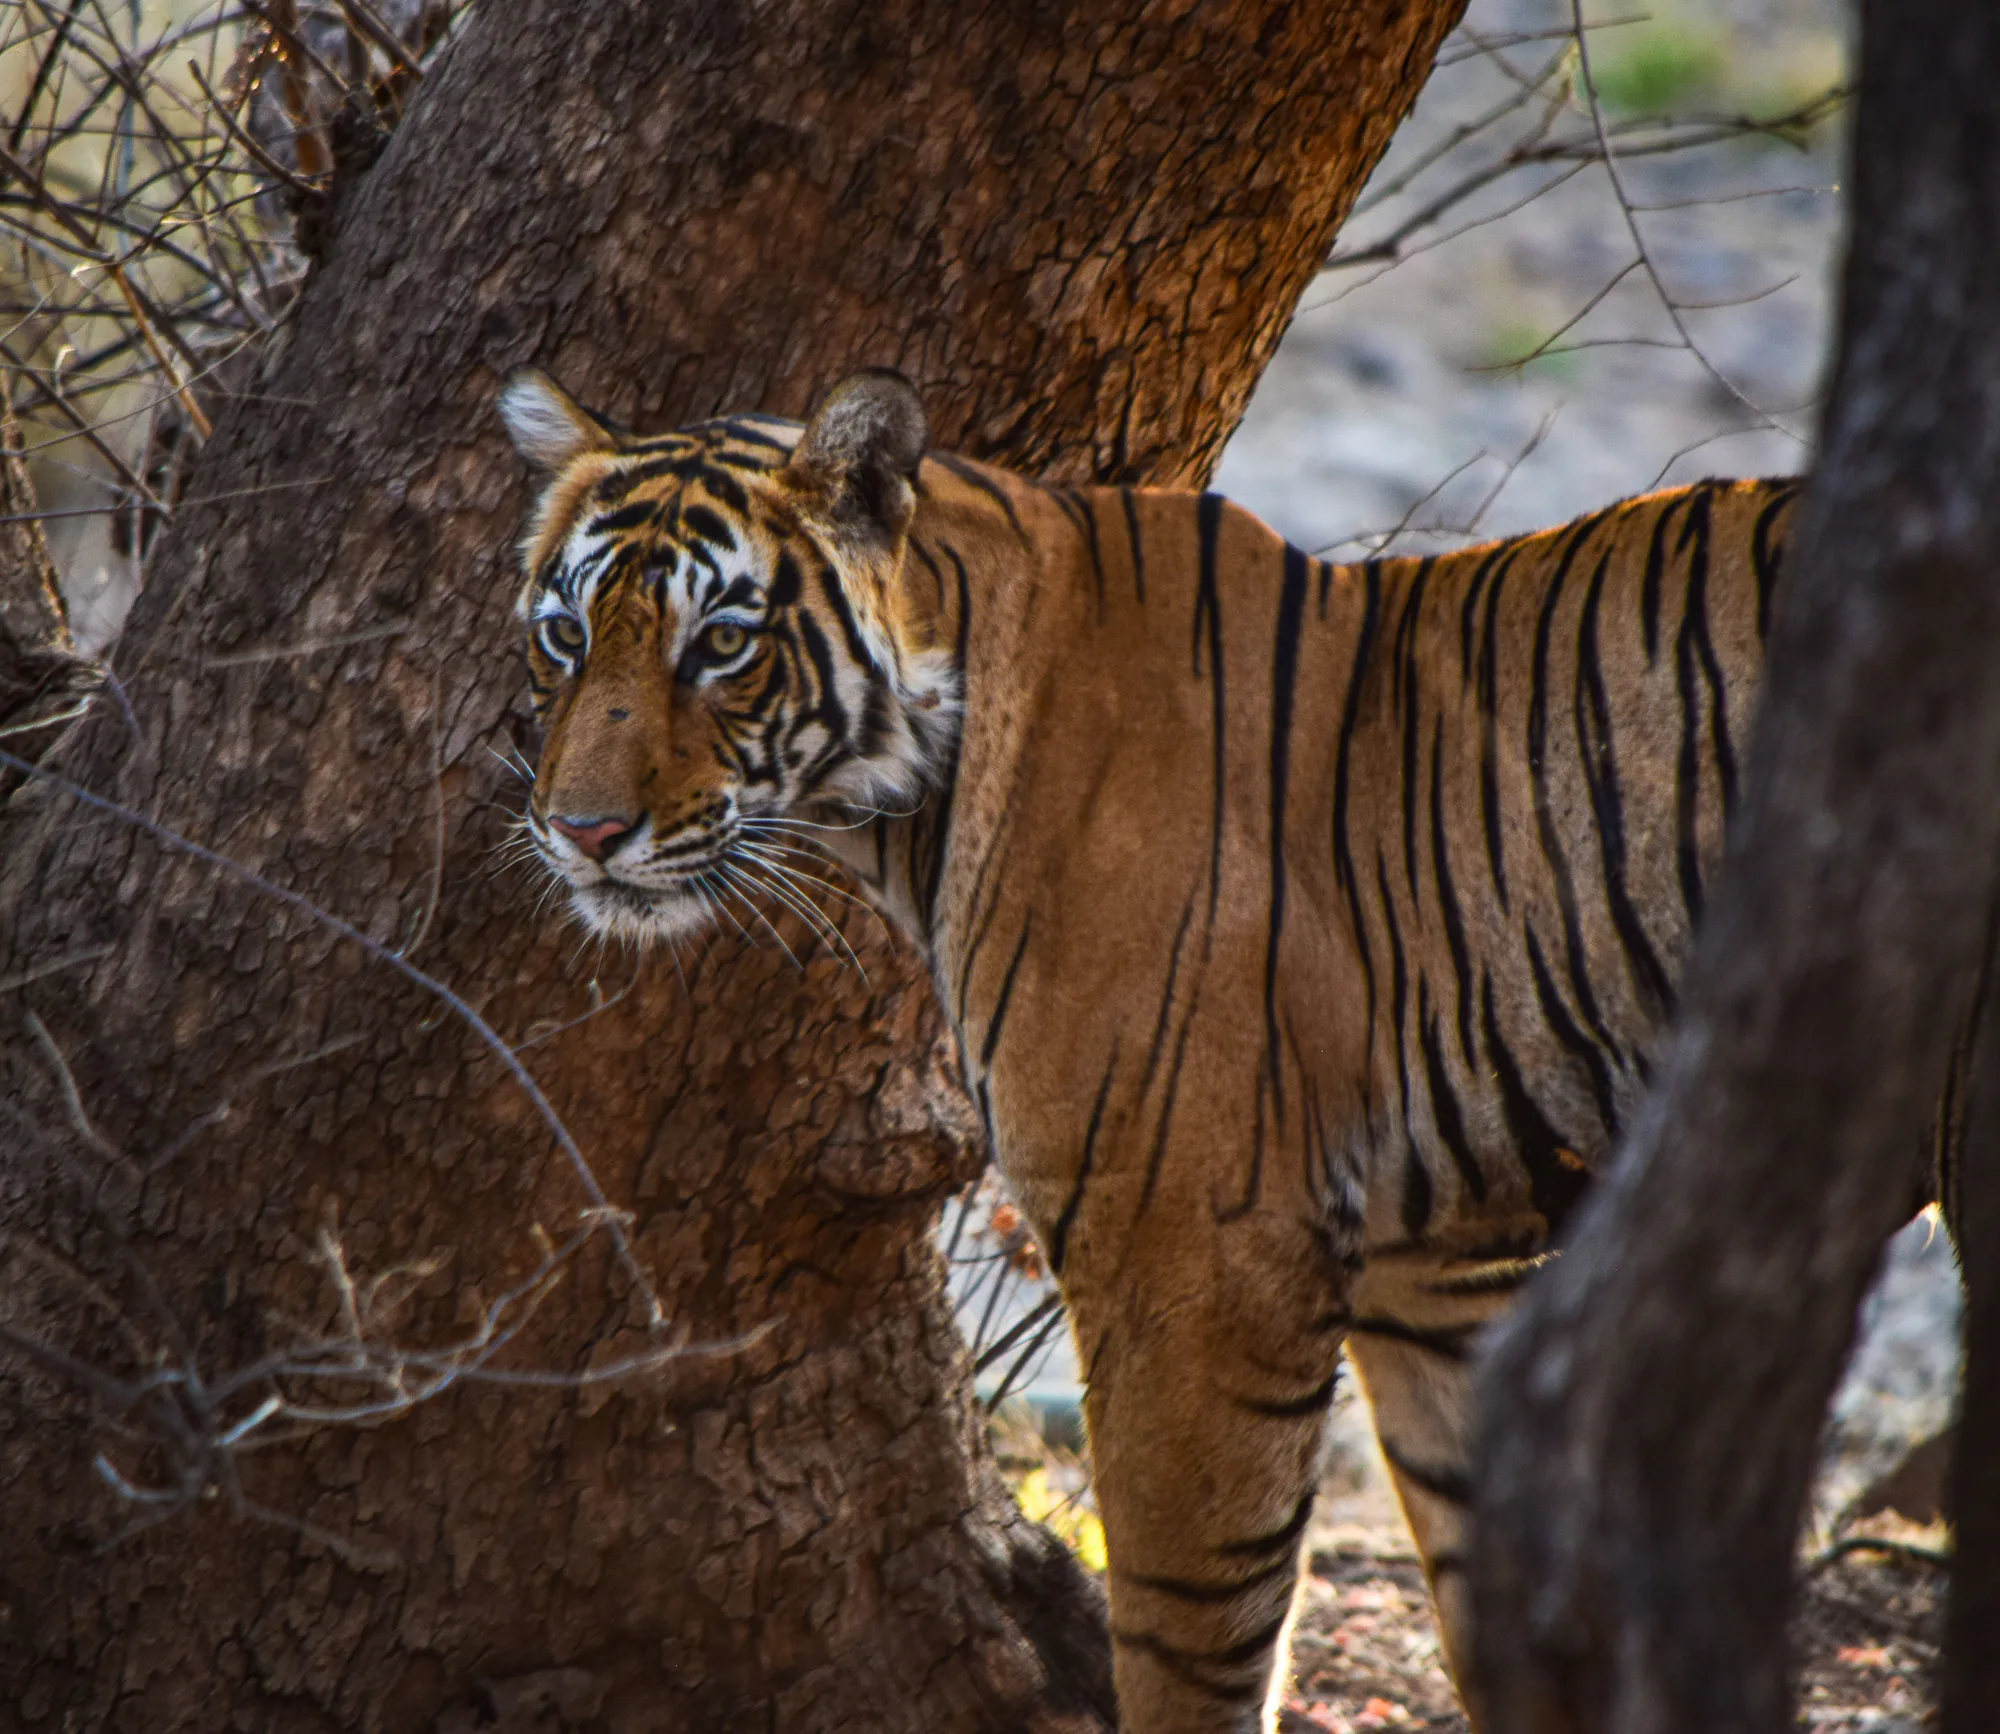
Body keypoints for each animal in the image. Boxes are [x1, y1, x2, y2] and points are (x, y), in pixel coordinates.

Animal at [497, 363, 1801, 1733]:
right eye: (566, 636)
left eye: (721, 645)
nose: (580, 832)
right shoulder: (1440, 1271)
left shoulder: (1192, 1250)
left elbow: (1184, 1639)